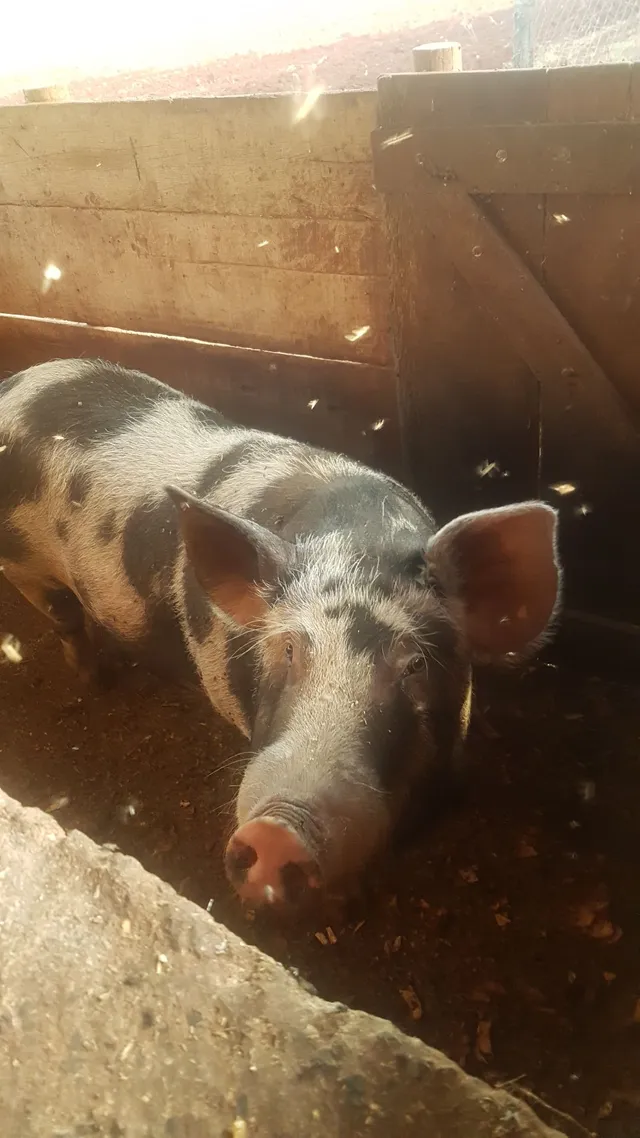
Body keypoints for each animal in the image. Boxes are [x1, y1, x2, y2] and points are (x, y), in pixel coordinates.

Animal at [0, 359, 561, 905]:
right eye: (287, 649)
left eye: (415, 665)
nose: (276, 832)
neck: (356, 541)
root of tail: (15, 382)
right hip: (25, 568)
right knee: (65, 619)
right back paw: (96, 679)